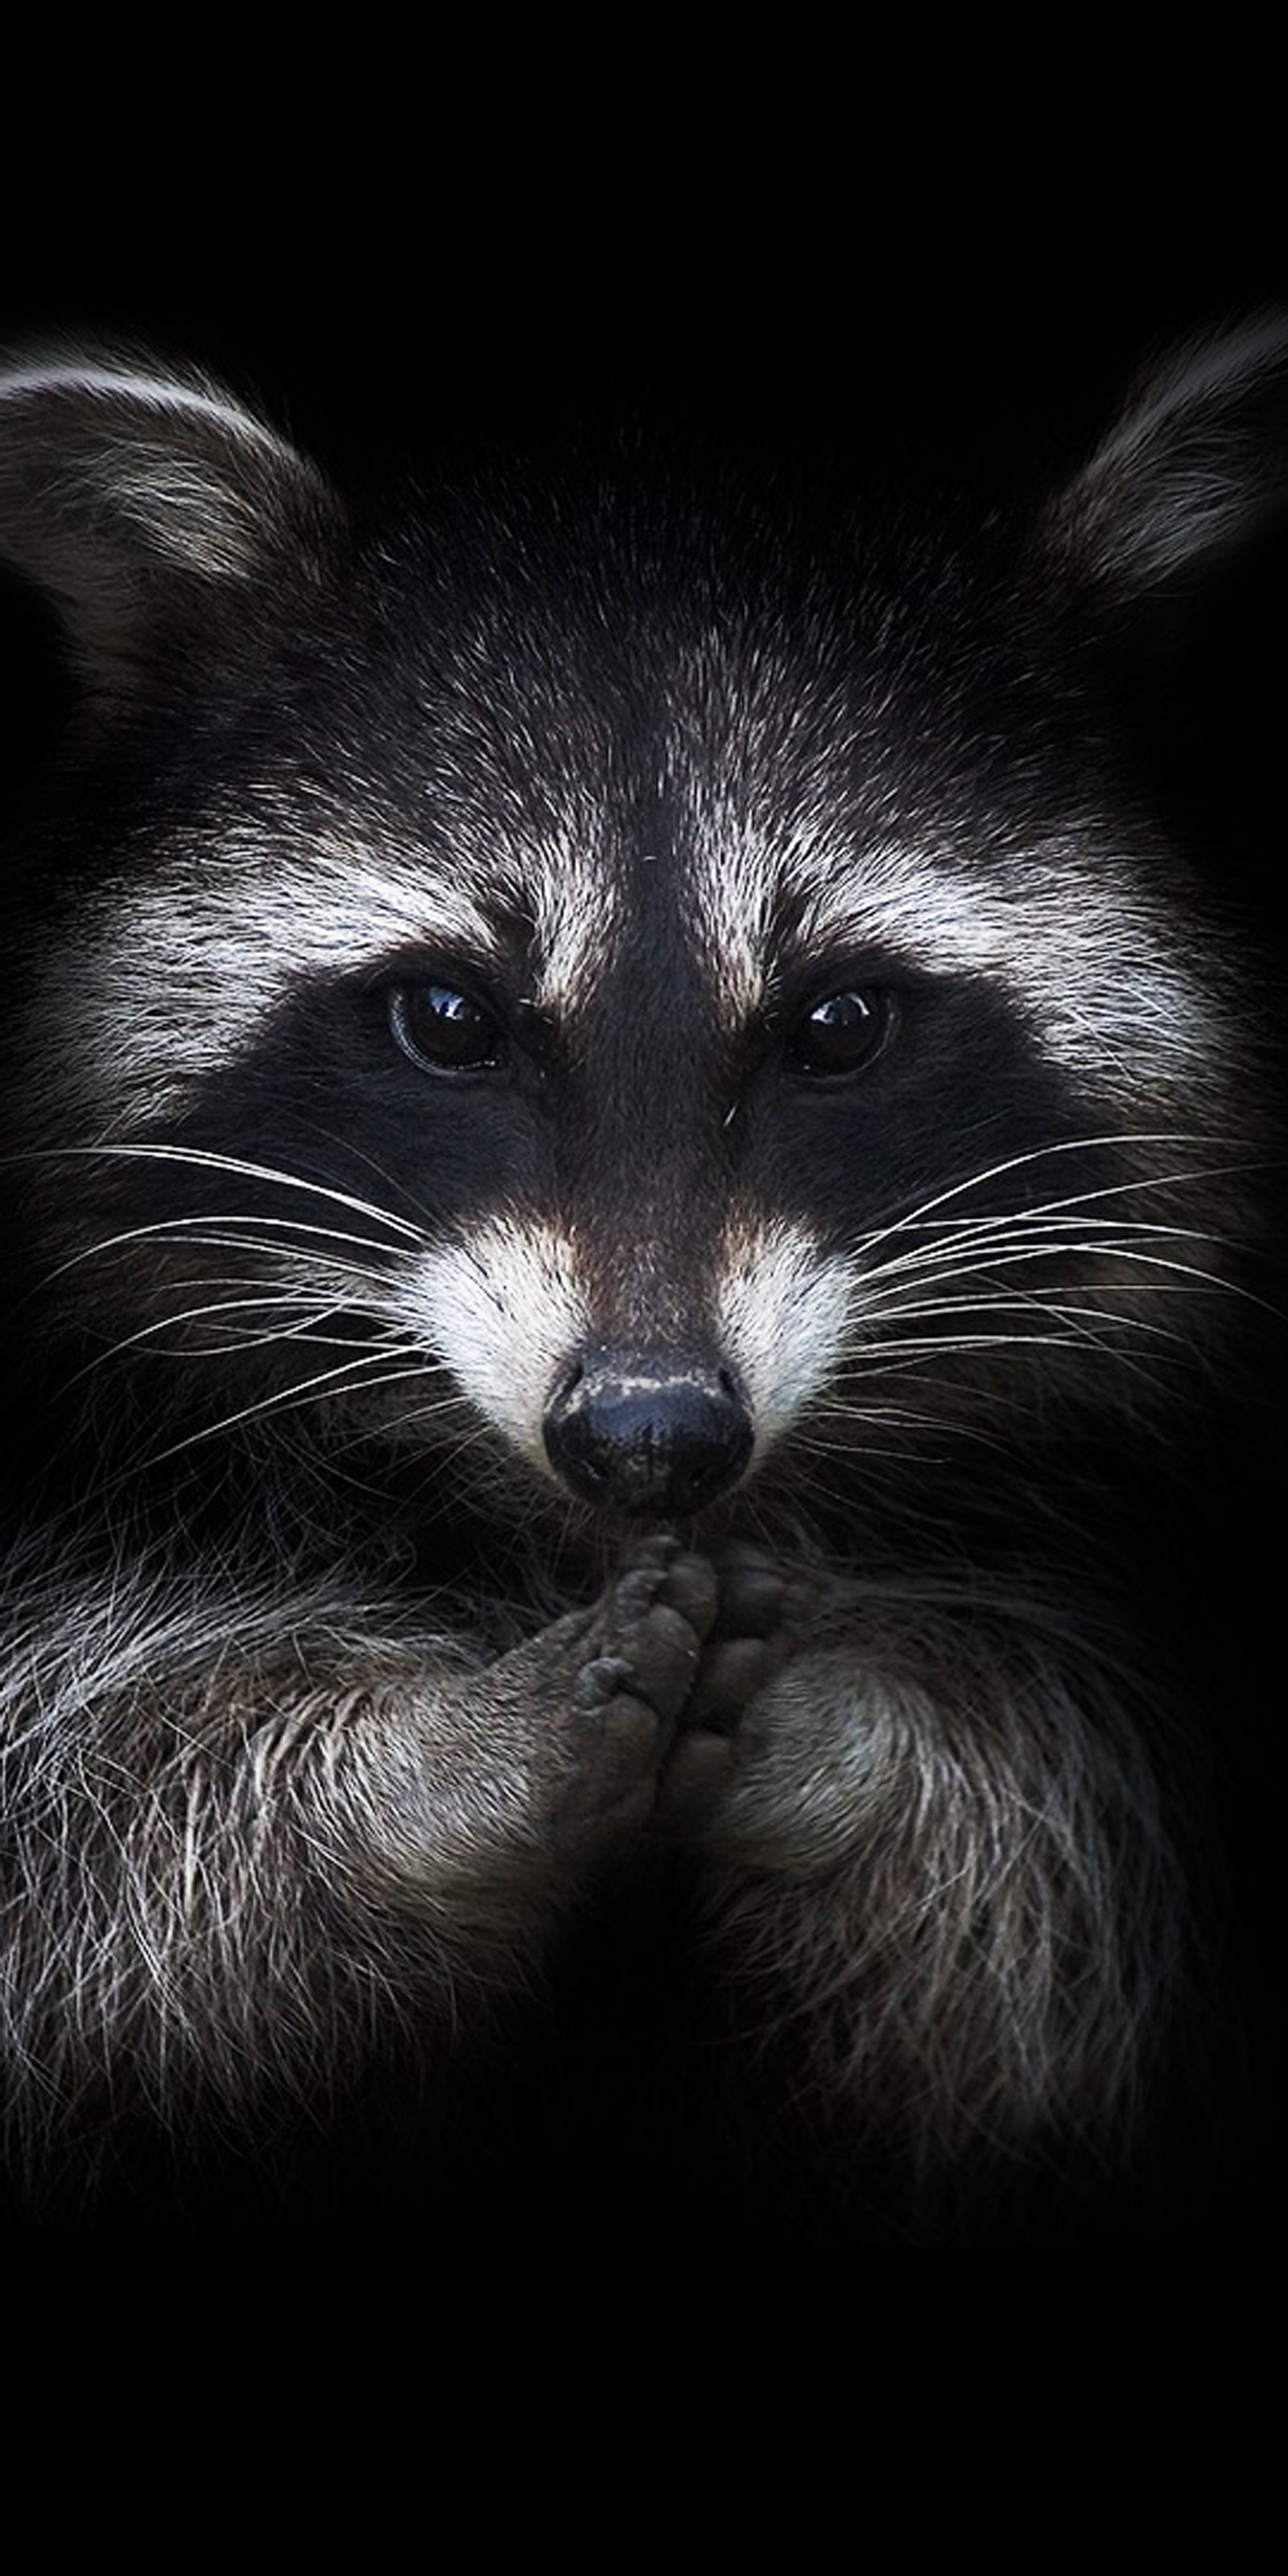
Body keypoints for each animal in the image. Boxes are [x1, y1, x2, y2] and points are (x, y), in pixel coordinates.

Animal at [0, 332, 1278, 2246]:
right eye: (448, 1017)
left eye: (841, 1022)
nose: (653, 1433)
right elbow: (83, 1830)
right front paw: (417, 1783)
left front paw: (859, 1755)